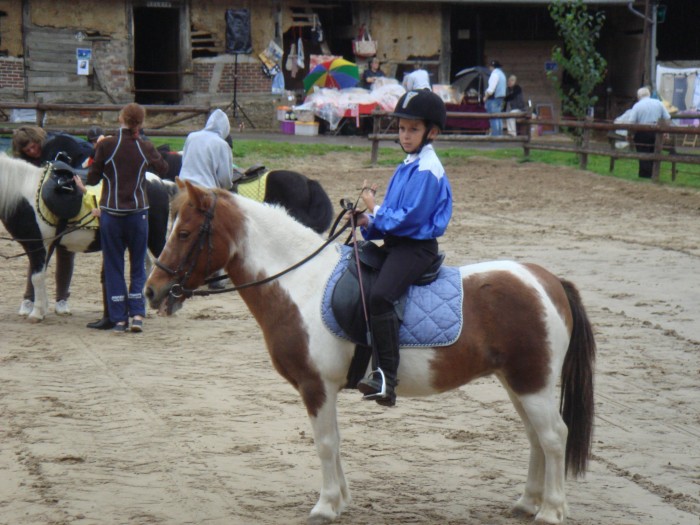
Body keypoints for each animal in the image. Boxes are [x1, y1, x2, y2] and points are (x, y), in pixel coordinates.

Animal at [0, 154, 174, 322]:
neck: (24, 193)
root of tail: (158, 181)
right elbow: (37, 275)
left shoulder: (37, 245)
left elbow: (36, 277)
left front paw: (36, 314)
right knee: (147, 266)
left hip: (155, 239)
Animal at [146, 181, 596, 524]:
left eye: (184, 234)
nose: (152, 291)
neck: (301, 284)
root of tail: (547, 281)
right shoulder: (324, 389)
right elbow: (335, 440)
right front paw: (341, 501)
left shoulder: (315, 386)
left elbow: (325, 443)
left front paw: (325, 506)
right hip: (518, 383)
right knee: (537, 438)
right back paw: (527, 503)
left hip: (532, 382)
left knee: (553, 436)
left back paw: (551, 511)